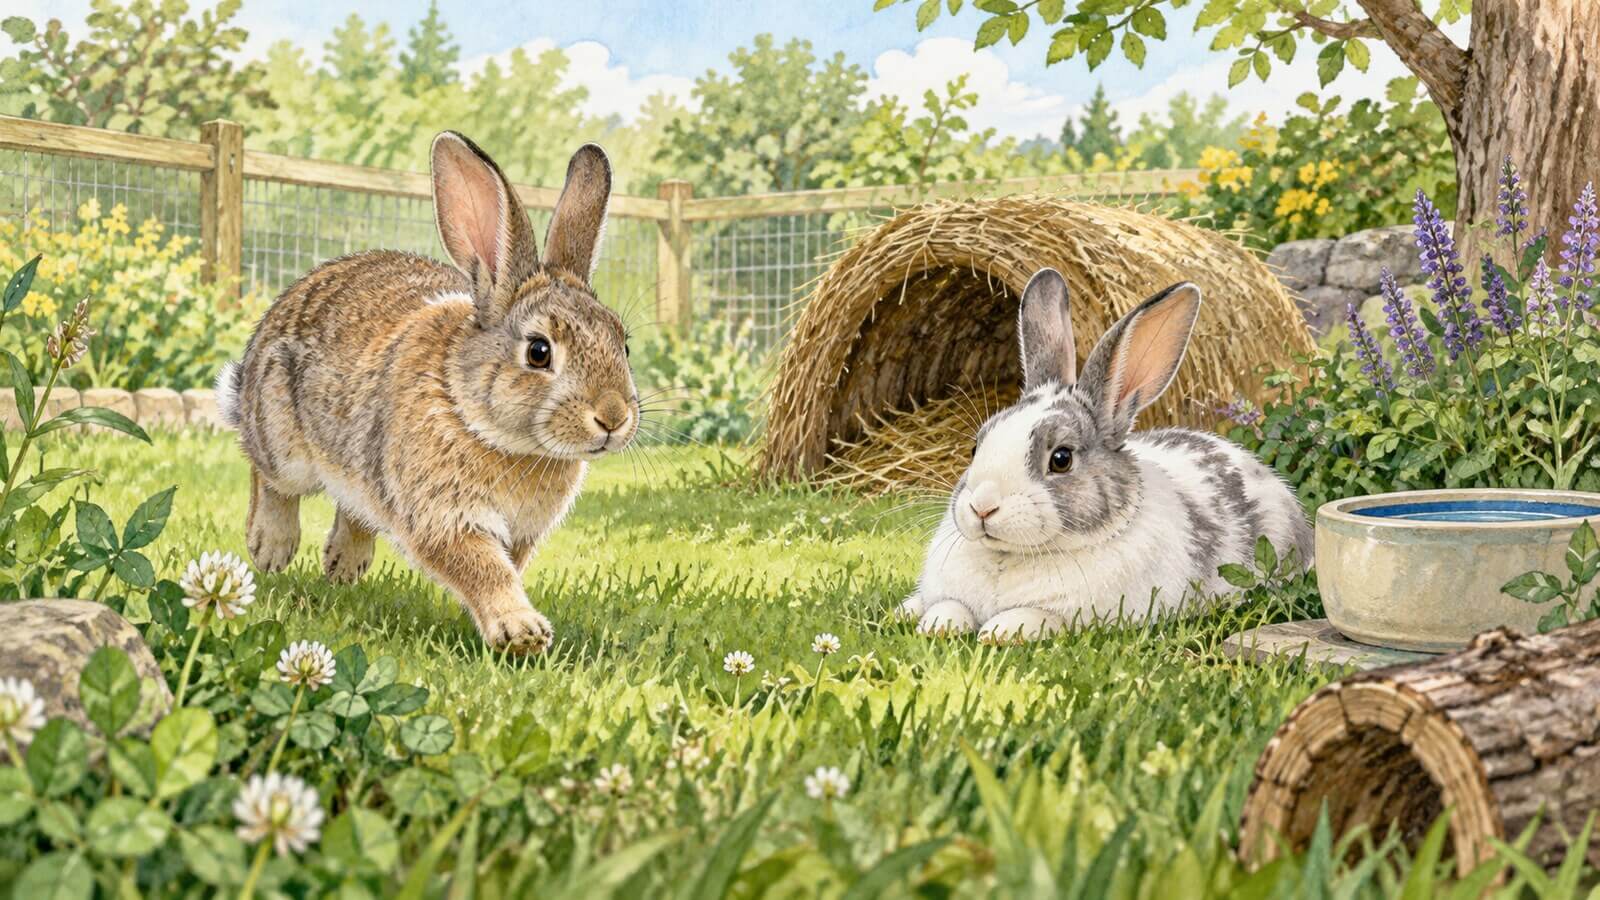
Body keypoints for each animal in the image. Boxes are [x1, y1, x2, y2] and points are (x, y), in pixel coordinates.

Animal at [217, 132, 637, 654]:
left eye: (623, 343)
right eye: (539, 352)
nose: (613, 417)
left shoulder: (517, 533)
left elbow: (504, 570)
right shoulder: (443, 516)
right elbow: (484, 570)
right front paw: (521, 630)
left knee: (355, 506)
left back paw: (344, 564)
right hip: (282, 438)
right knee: (268, 475)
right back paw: (270, 548)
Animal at [900, 268, 1313, 643]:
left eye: (1061, 459)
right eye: (976, 446)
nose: (982, 507)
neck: (1007, 557)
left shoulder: (1073, 616)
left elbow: (1032, 617)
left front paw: (996, 633)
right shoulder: (949, 593)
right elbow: (948, 606)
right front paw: (934, 626)